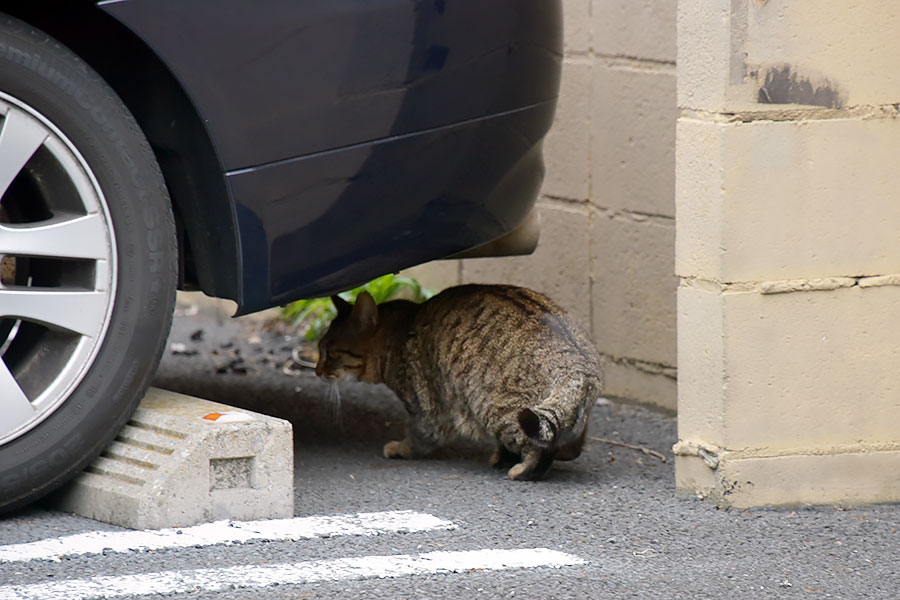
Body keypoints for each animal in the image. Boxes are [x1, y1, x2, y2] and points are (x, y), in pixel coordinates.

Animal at [316, 284, 604, 480]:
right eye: (318, 349)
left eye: (330, 353)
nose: (317, 371)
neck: (396, 335)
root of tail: (578, 364)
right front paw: (501, 456)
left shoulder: (425, 408)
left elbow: (420, 436)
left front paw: (400, 448)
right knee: (570, 440)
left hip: (493, 406)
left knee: (538, 448)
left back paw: (523, 469)